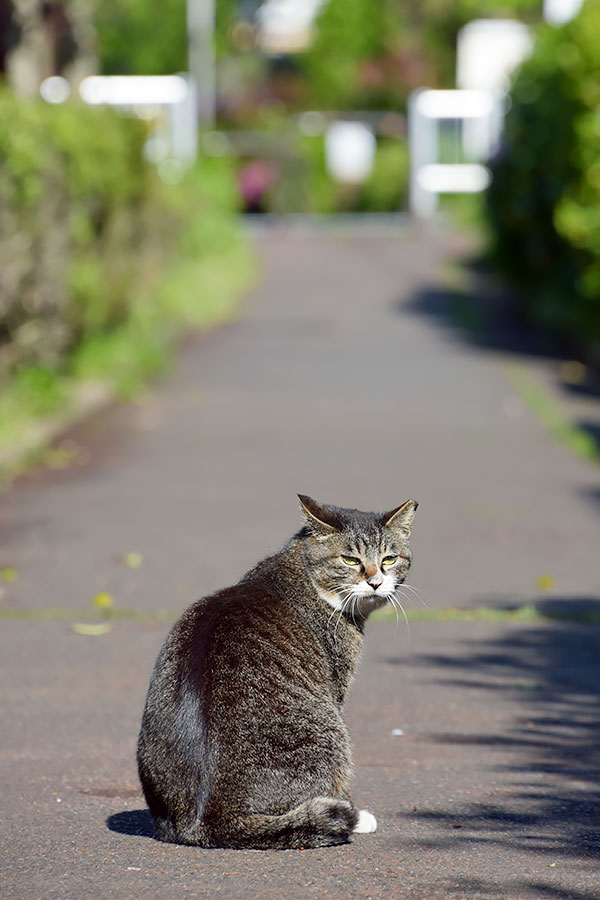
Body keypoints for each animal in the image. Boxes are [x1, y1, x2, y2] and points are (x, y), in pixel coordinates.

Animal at [137, 496, 418, 848]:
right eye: (351, 560)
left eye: (389, 559)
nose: (375, 582)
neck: (299, 571)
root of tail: (208, 819)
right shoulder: (336, 690)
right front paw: (358, 813)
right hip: (331, 732)